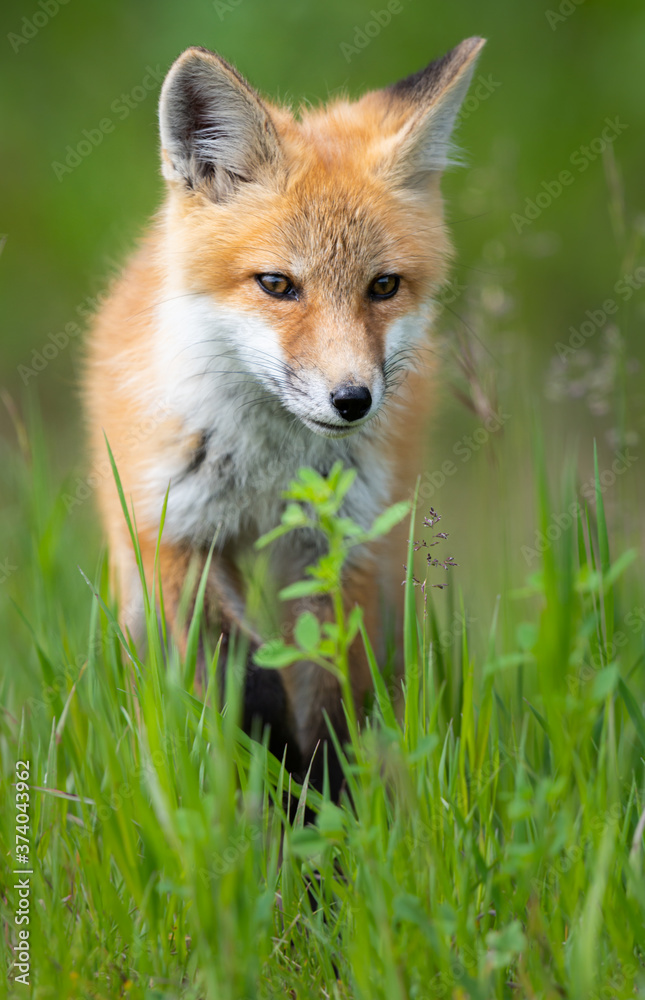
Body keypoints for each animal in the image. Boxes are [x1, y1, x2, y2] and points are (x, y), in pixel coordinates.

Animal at [83, 37, 486, 798]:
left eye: (383, 286)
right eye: (277, 284)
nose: (352, 400)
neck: (265, 468)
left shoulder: (337, 549)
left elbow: (329, 692)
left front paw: (331, 807)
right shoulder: (176, 539)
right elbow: (247, 687)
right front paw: (281, 793)